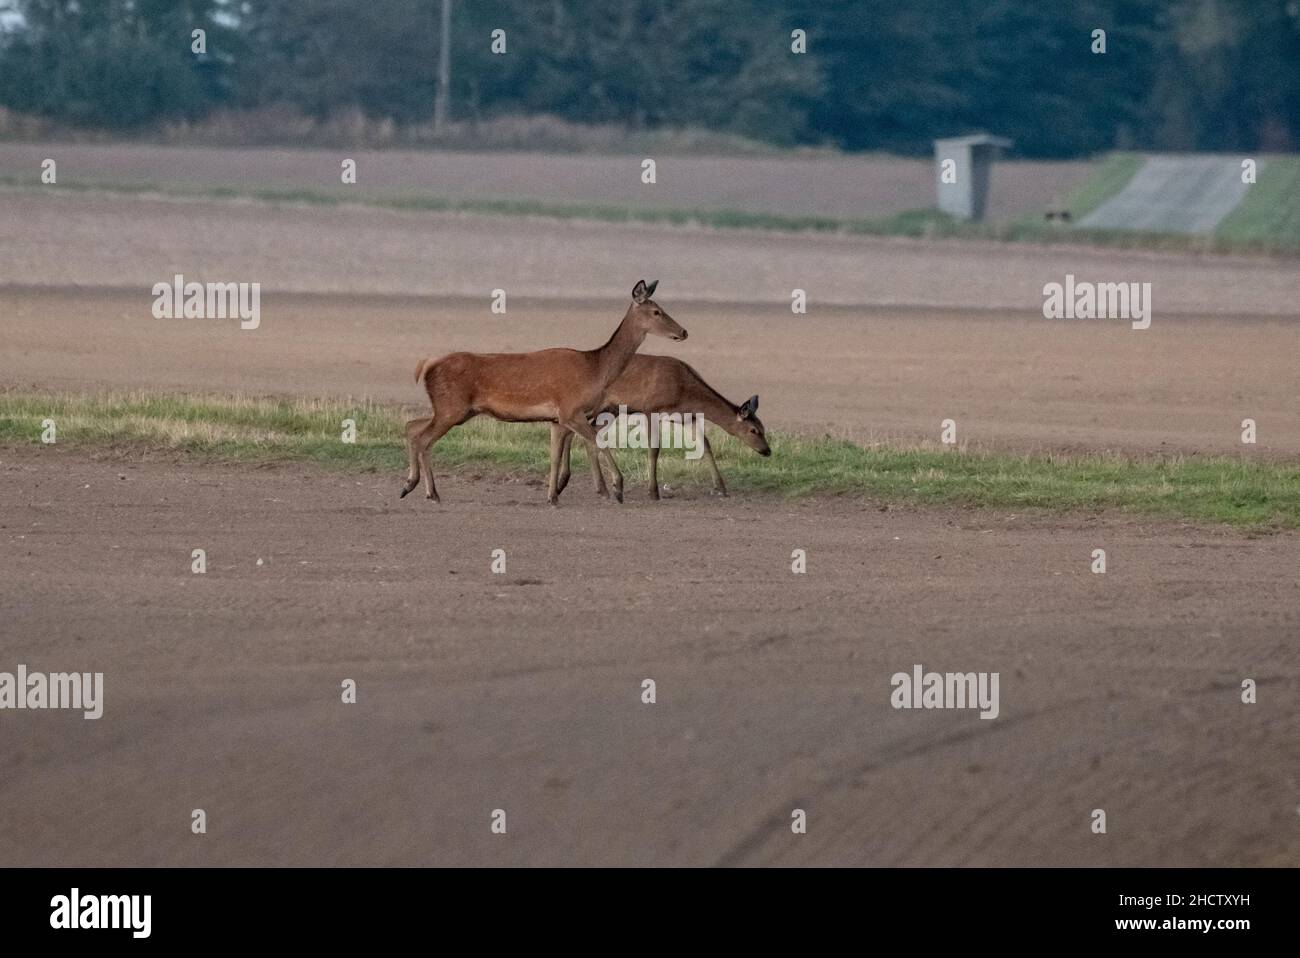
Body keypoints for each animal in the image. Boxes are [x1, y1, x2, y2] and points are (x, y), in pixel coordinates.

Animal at [401, 279, 686, 505]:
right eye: (657, 311)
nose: (683, 331)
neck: (595, 370)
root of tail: (426, 365)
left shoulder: (557, 419)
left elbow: (555, 456)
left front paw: (553, 496)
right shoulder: (570, 410)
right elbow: (598, 441)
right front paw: (617, 488)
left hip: (456, 410)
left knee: (412, 426)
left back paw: (411, 486)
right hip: (452, 408)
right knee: (423, 438)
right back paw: (429, 492)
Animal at [551, 355, 771, 500]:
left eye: (763, 427)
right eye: (754, 430)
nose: (767, 450)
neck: (685, 392)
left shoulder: (688, 417)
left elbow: (705, 445)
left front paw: (721, 488)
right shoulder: (651, 409)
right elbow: (654, 449)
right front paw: (653, 491)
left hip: (610, 409)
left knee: (585, 435)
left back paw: (593, 486)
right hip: (592, 405)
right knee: (569, 430)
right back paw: (564, 483)